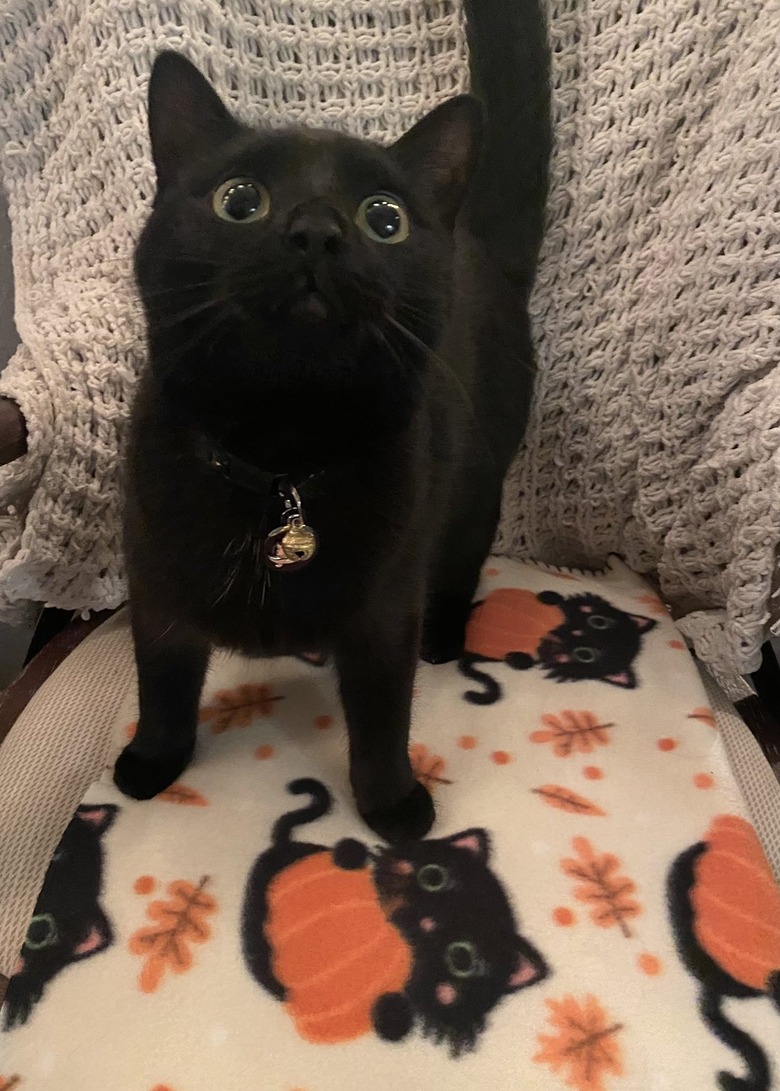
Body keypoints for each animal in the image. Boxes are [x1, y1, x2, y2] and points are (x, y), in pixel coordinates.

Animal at [114, 0, 556, 842]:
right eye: (239, 200)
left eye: (383, 218)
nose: (316, 230)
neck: (280, 456)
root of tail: (479, 242)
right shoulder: (154, 583)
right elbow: (162, 684)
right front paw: (154, 760)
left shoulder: (386, 607)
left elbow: (383, 712)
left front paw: (392, 804)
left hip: (476, 488)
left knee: (461, 561)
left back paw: (447, 637)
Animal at [460, 589, 654, 706]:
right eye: (599, 622)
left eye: (585, 655)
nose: (572, 631)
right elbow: (557, 600)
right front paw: (549, 597)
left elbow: (527, 661)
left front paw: (517, 658)